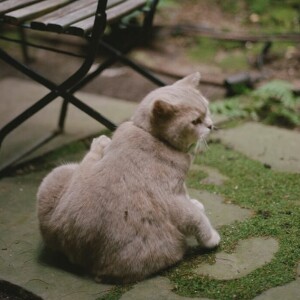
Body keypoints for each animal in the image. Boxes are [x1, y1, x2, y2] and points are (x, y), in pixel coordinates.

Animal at [37, 72, 220, 284]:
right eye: (195, 121)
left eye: (207, 109)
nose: (210, 125)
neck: (149, 134)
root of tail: (89, 265)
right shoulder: (173, 198)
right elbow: (197, 218)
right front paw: (211, 239)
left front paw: (196, 203)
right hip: (59, 172)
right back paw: (99, 143)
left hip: (54, 177)